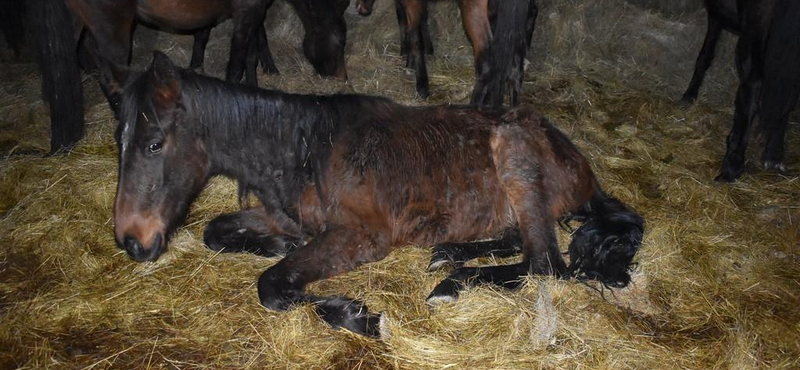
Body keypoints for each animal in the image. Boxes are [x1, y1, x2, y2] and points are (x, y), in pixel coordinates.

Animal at [109, 52, 644, 338]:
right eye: (119, 140)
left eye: (154, 144)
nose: (133, 241)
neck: (307, 148)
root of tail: (584, 167)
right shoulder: (288, 217)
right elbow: (215, 231)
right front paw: (276, 245)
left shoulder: (362, 237)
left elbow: (274, 286)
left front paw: (358, 315)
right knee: (520, 243)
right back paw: (449, 255)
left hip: (515, 157)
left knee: (545, 263)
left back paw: (452, 284)